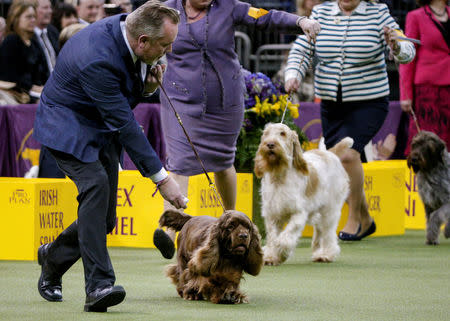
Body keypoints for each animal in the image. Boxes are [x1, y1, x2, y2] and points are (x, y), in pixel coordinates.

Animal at [253, 122, 352, 264]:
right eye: (266, 134)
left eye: (282, 133)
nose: (270, 144)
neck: (279, 176)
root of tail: (329, 153)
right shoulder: (273, 215)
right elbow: (272, 237)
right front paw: (270, 256)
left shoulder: (298, 214)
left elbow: (285, 237)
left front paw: (282, 253)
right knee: (319, 229)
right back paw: (317, 250)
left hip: (330, 210)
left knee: (328, 233)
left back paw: (326, 254)